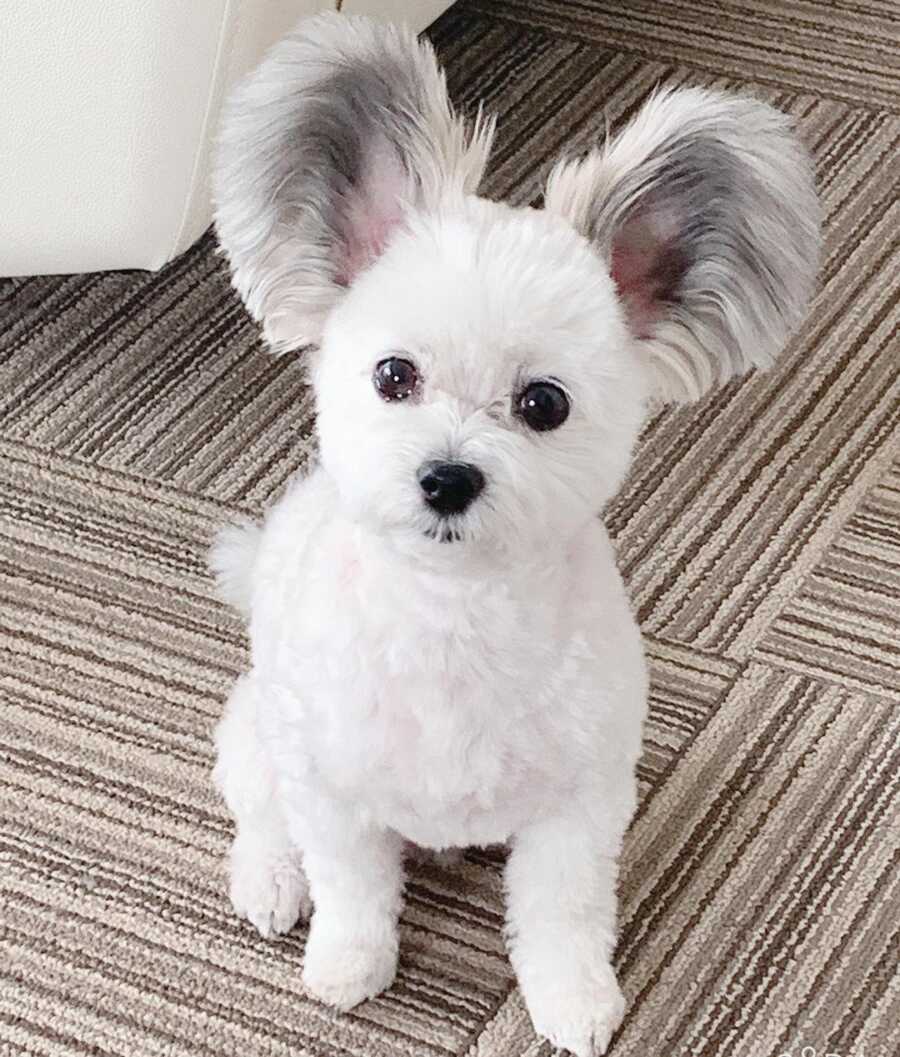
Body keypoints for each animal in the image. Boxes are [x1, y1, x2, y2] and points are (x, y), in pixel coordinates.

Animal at [207, 12, 820, 1052]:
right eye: (394, 375)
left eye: (544, 403)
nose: (448, 476)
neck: (453, 619)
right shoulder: (332, 787)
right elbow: (352, 886)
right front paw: (350, 963)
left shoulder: (579, 803)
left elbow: (564, 912)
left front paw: (574, 998)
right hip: (261, 731)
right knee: (260, 813)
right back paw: (269, 880)